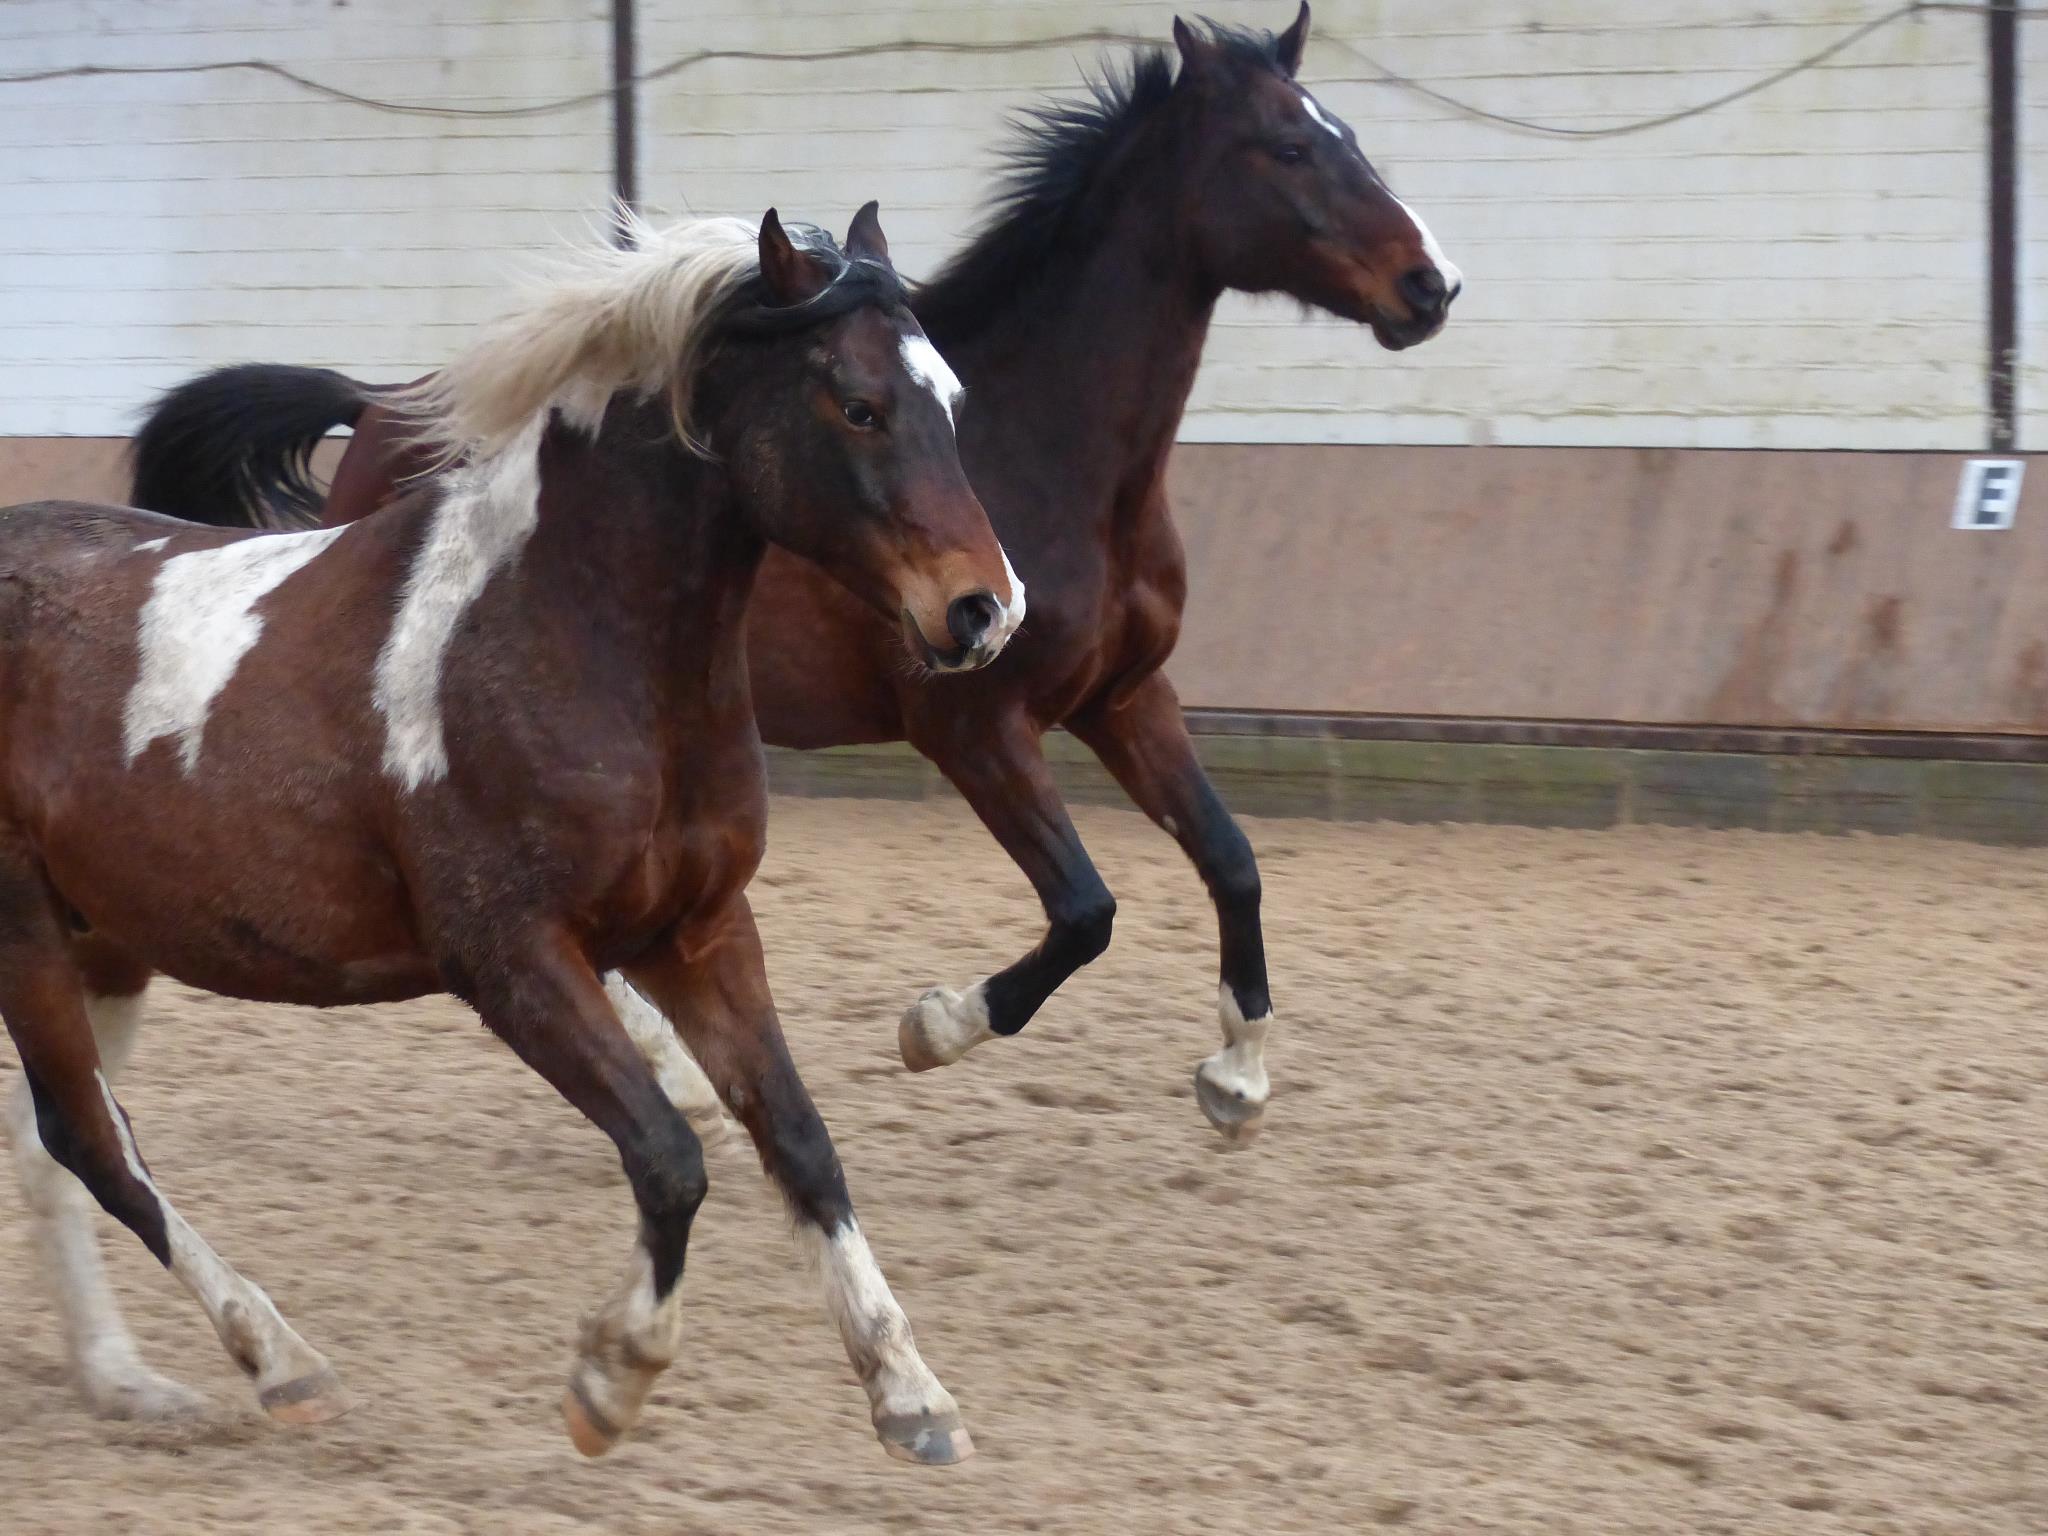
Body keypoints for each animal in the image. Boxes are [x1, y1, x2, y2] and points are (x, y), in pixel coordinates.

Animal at [0, 207, 1024, 1466]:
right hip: (24, 936)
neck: (566, 636)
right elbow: (668, 1157)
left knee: (52, 1147)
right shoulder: (511, 959)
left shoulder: (697, 932)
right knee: (94, 1143)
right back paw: (280, 1361)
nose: (984, 610)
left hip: (105, 942)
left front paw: (910, 1397)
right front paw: (609, 1381)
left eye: (948, 395)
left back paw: (126, 1381)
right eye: (857, 404)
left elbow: (797, 1140)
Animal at [128, 9, 1466, 1146]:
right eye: (1287, 145)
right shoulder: (971, 722)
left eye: (1347, 135)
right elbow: (1085, 909)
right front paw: (935, 1026)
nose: (1430, 285)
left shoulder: (1123, 697)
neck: (1055, 457)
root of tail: (380, 412)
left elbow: (1230, 860)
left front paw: (1234, 1079)